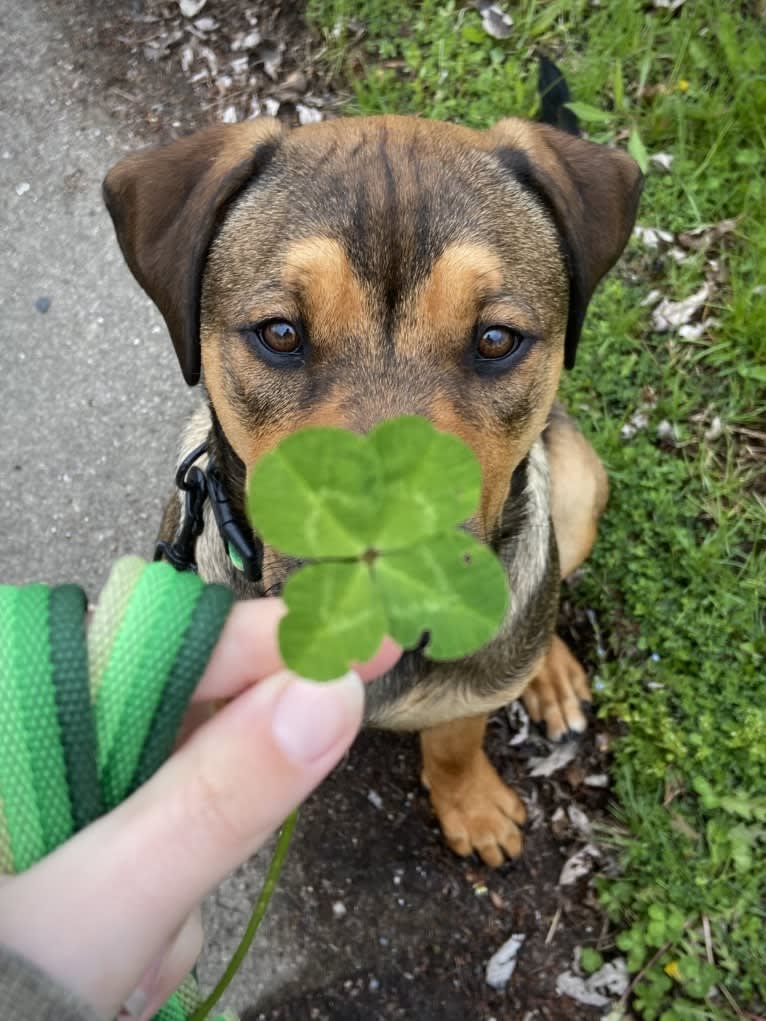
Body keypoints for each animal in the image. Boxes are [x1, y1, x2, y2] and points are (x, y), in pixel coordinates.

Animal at [102, 67, 641, 865]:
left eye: (497, 339)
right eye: (280, 333)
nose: (385, 542)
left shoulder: (469, 690)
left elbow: (456, 735)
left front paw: (470, 802)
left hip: (578, 484)